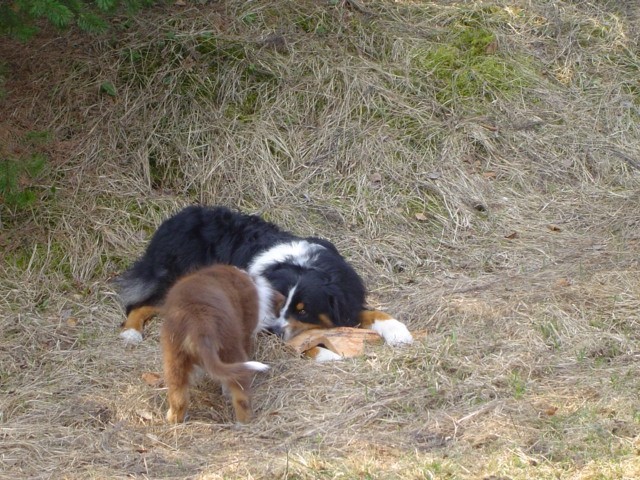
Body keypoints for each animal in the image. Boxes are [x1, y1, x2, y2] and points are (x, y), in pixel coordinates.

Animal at [159, 264, 282, 426]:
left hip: (174, 358)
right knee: (241, 396)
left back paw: (173, 419)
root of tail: (200, 325)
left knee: (178, 397)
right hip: (231, 350)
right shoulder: (245, 335)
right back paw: (244, 423)